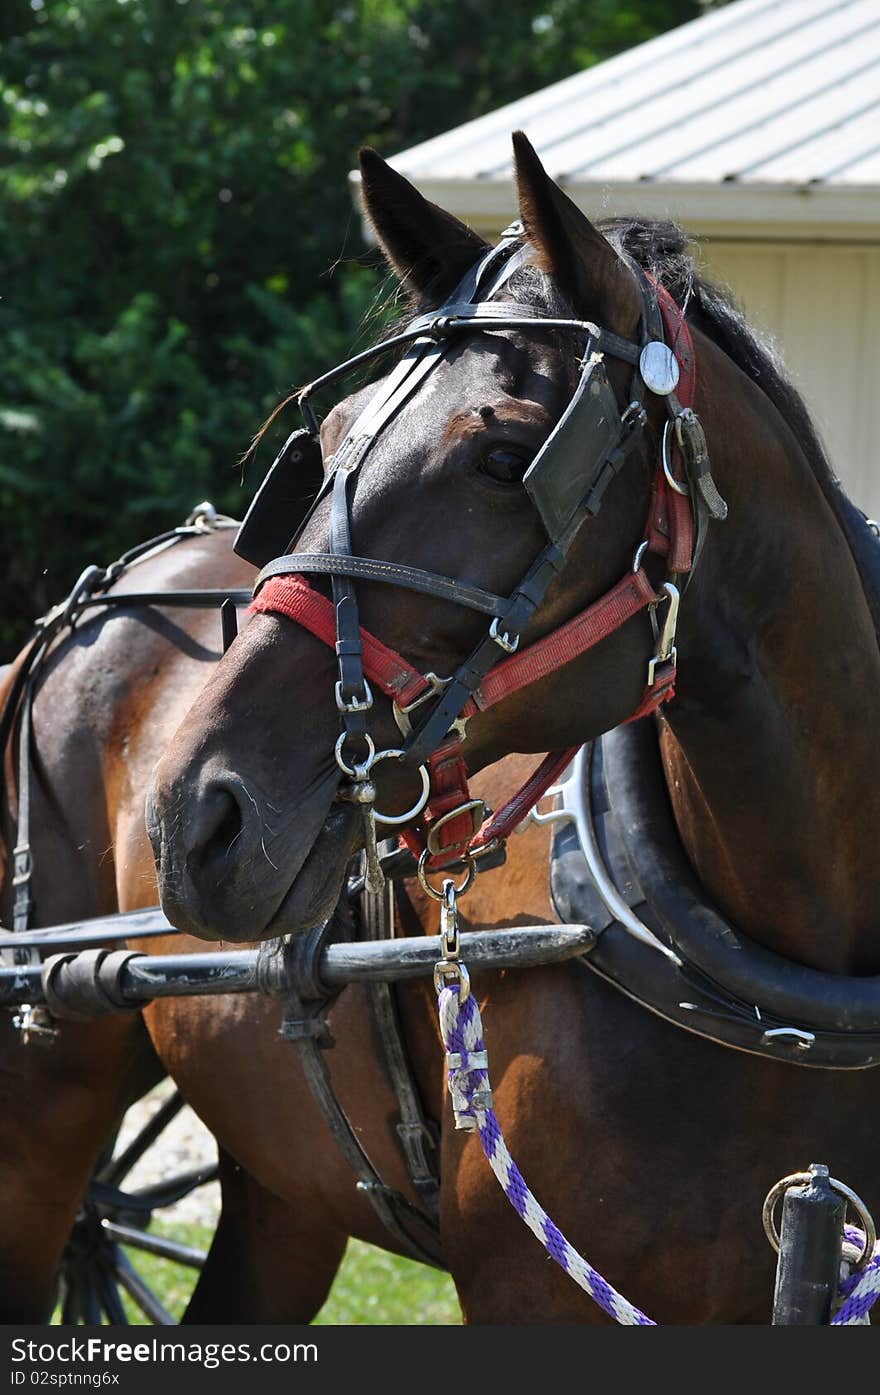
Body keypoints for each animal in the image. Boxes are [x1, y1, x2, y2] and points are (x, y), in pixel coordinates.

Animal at [5, 133, 880, 1328]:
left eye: (509, 458)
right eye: (328, 444)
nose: (197, 816)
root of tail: (101, 595)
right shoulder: (530, 1288)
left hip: (287, 1179)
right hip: (44, 1108)